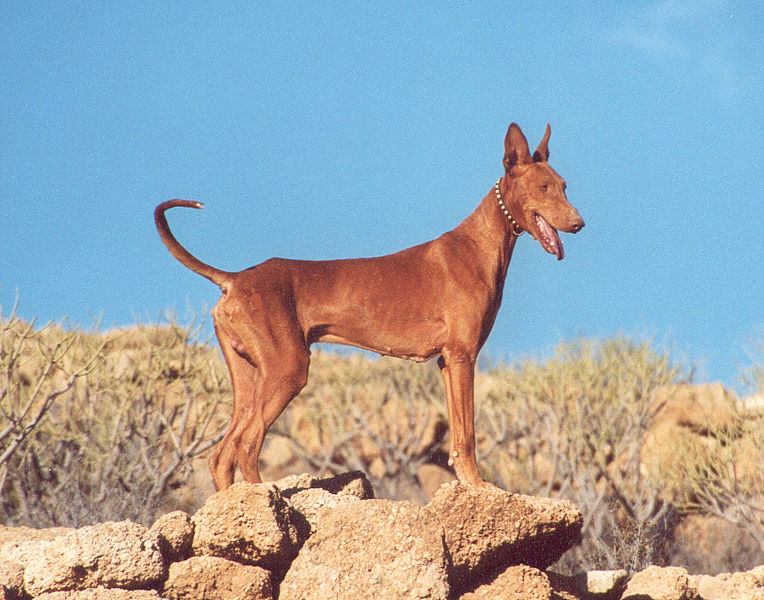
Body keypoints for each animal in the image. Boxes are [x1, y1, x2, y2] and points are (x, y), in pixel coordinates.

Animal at [155, 123, 584, 492]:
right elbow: (468, 433)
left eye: (564, 186)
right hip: (287, 369)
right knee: (246, 445)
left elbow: (458, 437)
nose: (579, 223)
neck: (478, 246)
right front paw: (478, 486)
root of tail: (236, 278)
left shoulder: (447, 362)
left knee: (221, 455)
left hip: (249, 376)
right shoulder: (463, 356)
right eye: (543, 187)